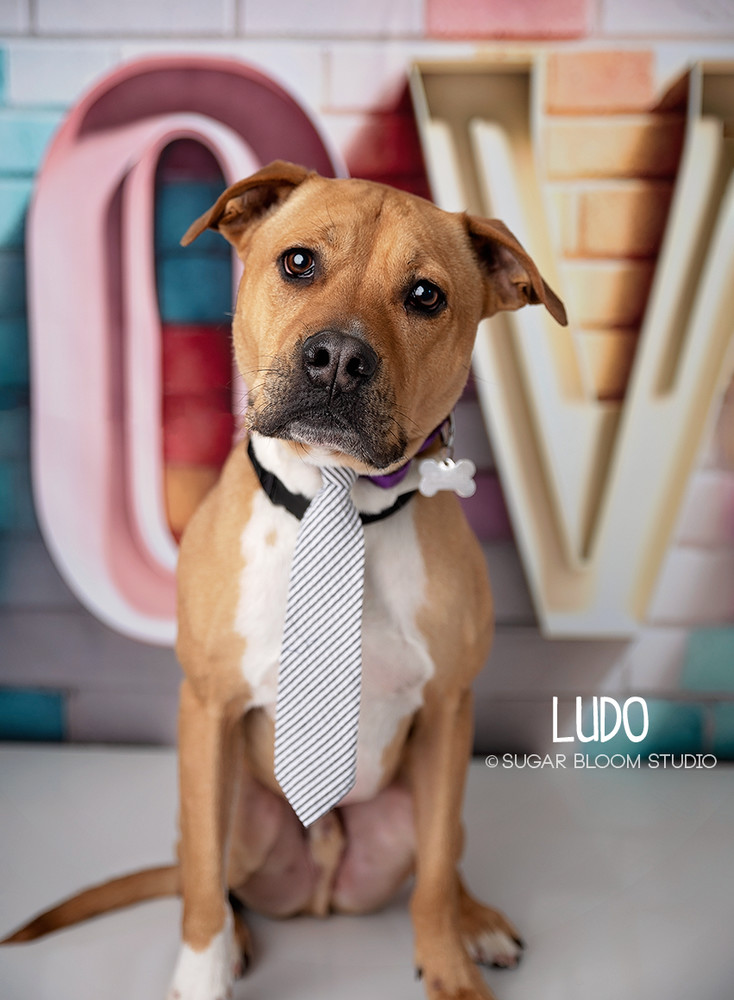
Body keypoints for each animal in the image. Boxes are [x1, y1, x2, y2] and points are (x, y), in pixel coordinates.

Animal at [0, 160, 568, 996]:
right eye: (298, 262)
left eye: (426, 295)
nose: (338, 357)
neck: (336, 495)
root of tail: (323, 882)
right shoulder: (207, 708)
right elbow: (204, 885)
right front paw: (204, 973)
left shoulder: (448, 710)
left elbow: (433, 878)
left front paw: (450, 968)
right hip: (236, 809)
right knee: (204, 871)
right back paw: (235, 936)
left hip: (422, 793)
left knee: (441, 858)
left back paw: (476, 921)